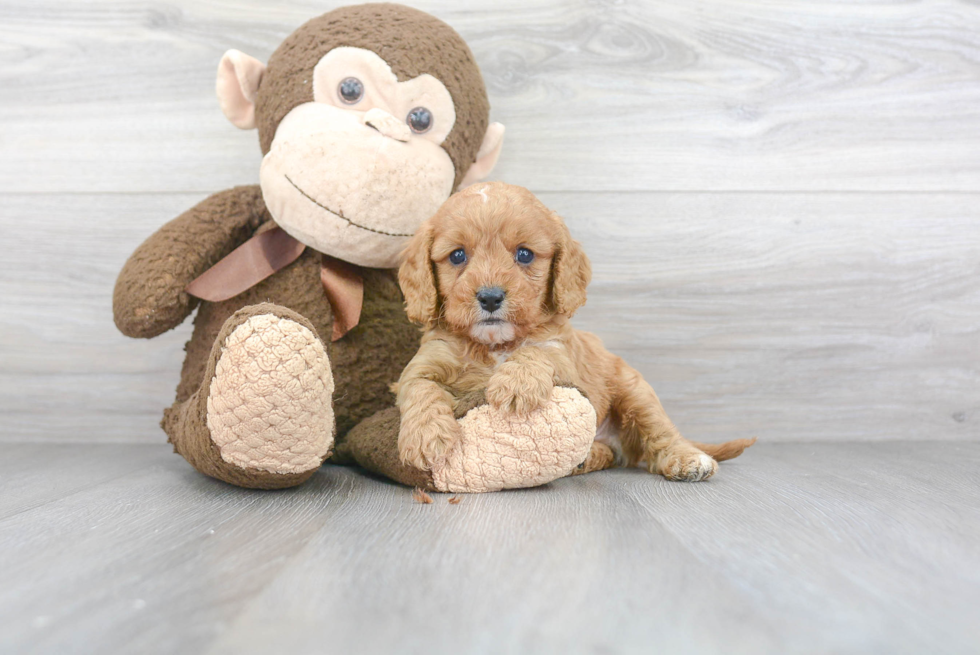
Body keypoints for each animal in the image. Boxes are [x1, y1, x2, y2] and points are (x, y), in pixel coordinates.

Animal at [394, 182, 756, 480]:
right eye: (457, 255)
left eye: (524, 254)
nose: (490, 297)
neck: (494, 346)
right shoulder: (422, 365)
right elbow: (421, 391)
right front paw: (426, 437)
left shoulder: (565, 359)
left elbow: (536, 351)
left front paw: (516, 383)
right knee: (610, 454)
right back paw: (587, 458)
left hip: (636, 392)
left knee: (660, 431)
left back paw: (687, 459)